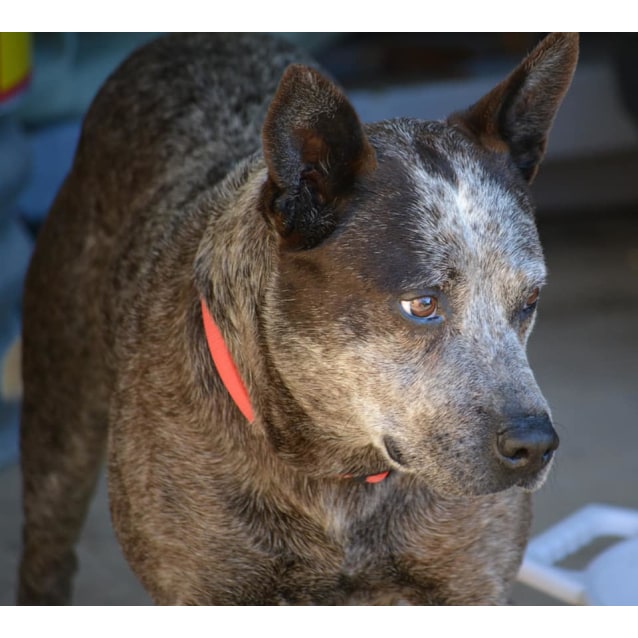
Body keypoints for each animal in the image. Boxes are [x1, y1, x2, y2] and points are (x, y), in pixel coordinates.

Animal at [18, 33, 580, 604]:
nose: (535, 444)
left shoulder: (470, 585)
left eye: (530, 299)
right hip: (58, 449)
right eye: (422, 304)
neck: (338, 475)